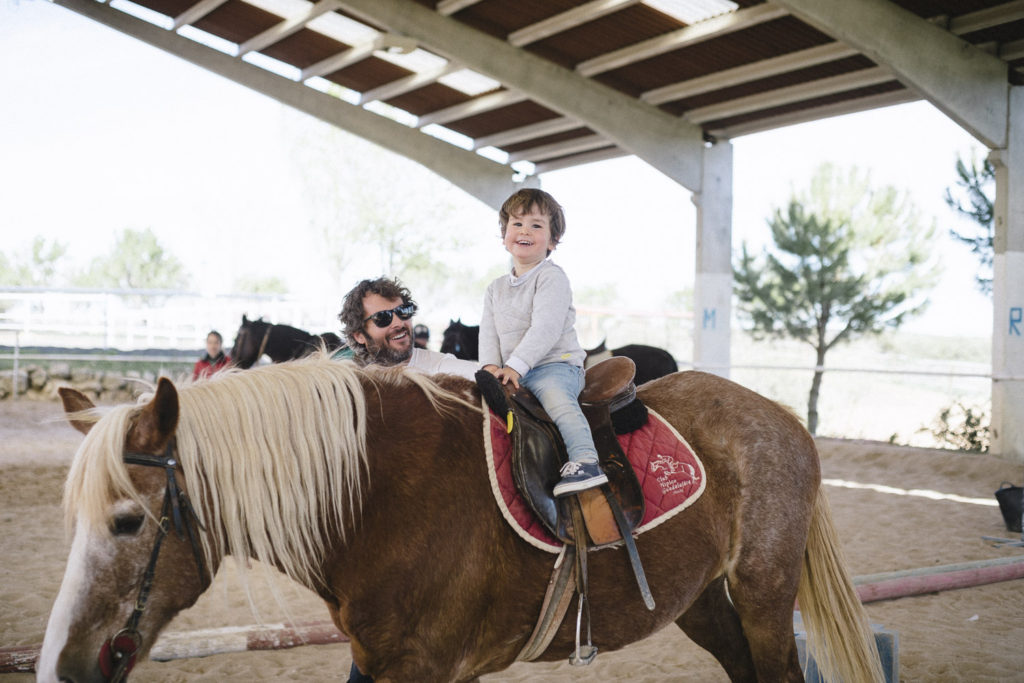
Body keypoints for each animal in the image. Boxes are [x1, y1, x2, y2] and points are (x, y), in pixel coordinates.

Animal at [37, 358, 880, 683]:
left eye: (125, 521)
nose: (61, 664)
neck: (373, 501)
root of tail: (782, 416)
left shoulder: (419, 667)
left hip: (765, 593)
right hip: (701, 598)